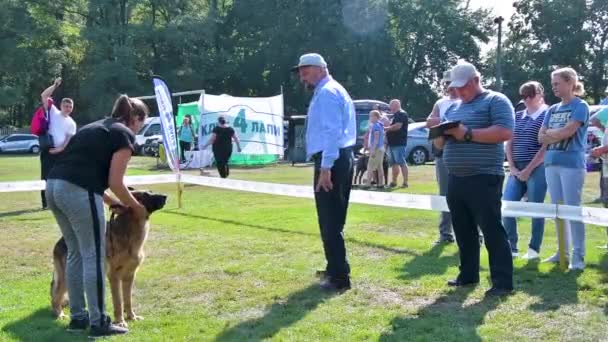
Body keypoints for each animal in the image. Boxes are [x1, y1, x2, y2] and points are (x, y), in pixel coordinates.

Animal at [50, 190, 166, 326]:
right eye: (146, 195)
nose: (165, 196)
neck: (128, 231)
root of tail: (60, 241)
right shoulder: (114, 276)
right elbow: (118, 302)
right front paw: (120, 321)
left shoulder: (129, 276)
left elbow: (128, 300)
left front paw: (131, 316)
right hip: (66, 278)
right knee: (55, 296)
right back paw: (59, 314)